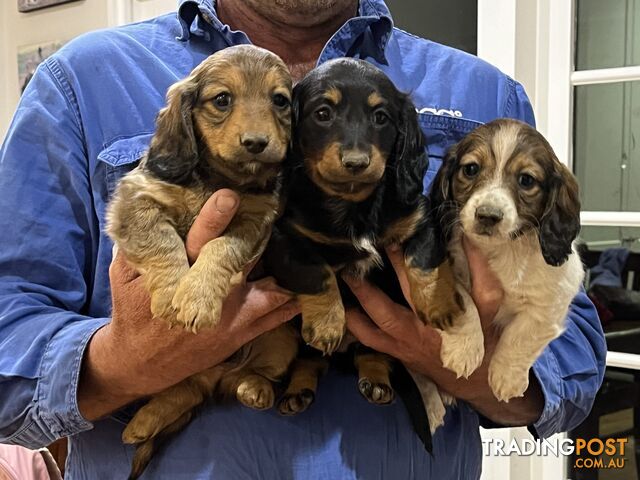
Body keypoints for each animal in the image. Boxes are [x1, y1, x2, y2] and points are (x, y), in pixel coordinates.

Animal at [107, 44, 300, 476]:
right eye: (222, 99)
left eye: (280, 100)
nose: (257, 142)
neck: (219, 180)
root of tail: (218, 375)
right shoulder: (137, 202)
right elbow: (163, 244)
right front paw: (170, 295)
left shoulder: (254, 220)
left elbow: (219, 248)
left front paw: (197, 297)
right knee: (182, 390)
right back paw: (143, 422)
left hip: (280, 341)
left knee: (235, 381)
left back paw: (254, 389)